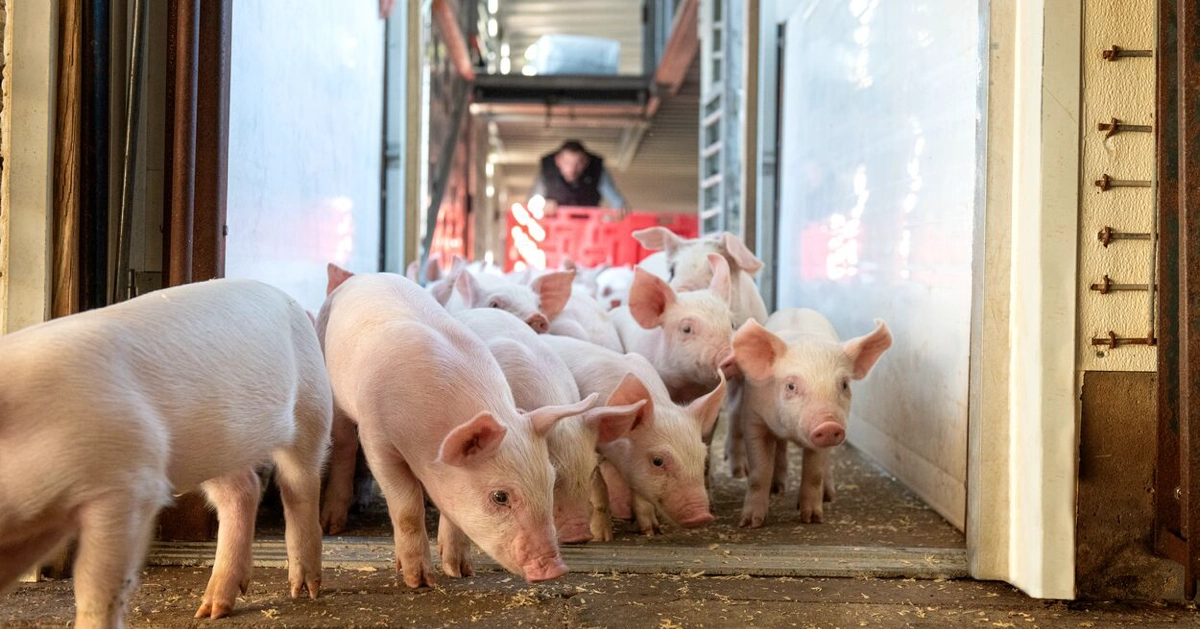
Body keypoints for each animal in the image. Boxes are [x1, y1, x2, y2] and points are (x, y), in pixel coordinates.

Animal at [0, 279, 332, 627]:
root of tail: (284, 296)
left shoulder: (129, 481)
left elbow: (96, 585)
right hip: (211, 448)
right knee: (242, 491)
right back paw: (211, 610)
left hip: (313, 404)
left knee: (301, 482)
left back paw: (304, 590)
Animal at [319, 268, 590, 585]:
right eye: (500, 497)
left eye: (551, 480)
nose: (556, 569)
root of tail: (368, 275)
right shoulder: (378, 440)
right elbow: (407, 507)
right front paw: (419, 581)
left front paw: (460, 571)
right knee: (344, 445)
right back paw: (331, 525)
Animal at [543, 335, 726, 538]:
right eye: (658, 461)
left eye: (703, 457)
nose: (702, 517)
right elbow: (598, 485)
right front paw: (603, 537)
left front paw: (651, 531)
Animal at [729, 309, 892, 527]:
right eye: (790, 386)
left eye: (844, 385)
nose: (829, 424)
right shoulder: (754, 419)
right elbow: (759, 470)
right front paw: (750, 523)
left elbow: (814, 472)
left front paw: (813, 519)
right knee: (781, 447)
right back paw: (777, 489)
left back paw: (828, 496)